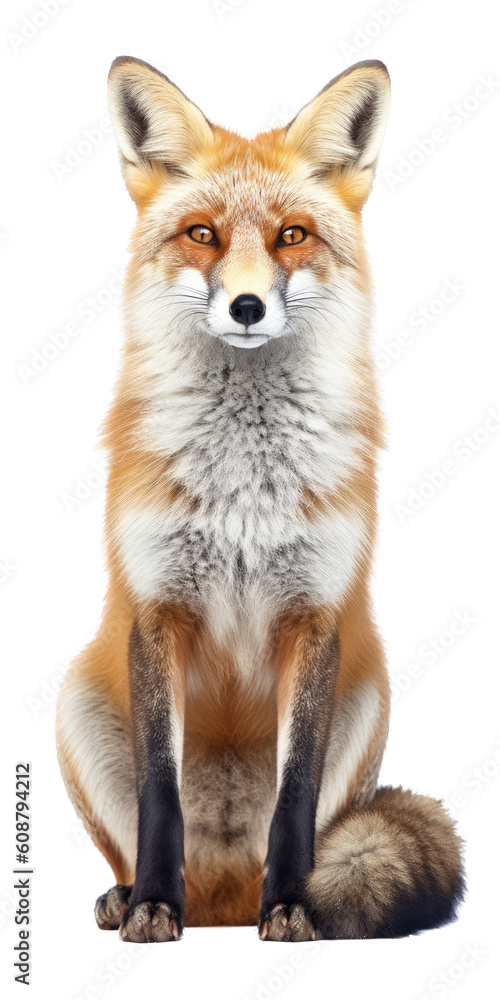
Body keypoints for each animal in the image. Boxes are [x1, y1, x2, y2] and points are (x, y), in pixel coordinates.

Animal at [56, 56, 465, 943]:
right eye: (203, 234)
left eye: (292, 236)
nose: (247, 306)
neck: (244, 486)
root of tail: (222, 904)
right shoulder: (157, 609)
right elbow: (159, 794)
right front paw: (153, 904)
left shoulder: (313, 615)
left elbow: (295, 797)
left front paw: (295, 905)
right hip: (74, 699)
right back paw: (129, 895)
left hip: (372, 695)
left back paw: (271, 900)